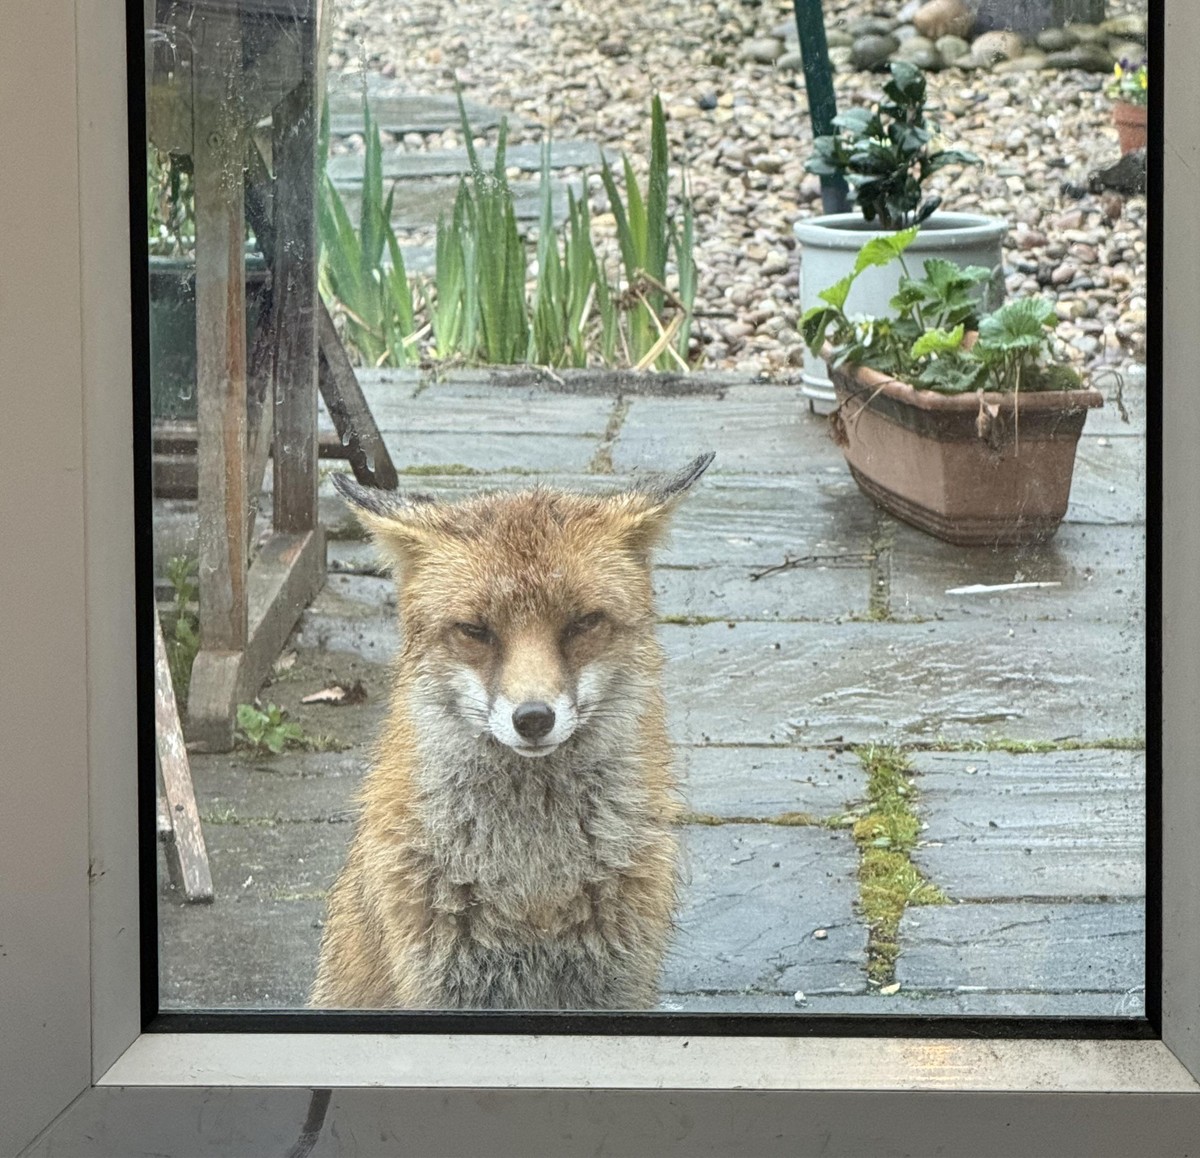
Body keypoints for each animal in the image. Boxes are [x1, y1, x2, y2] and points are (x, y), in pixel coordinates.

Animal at [309, 452, 715, 1010]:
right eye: (476, 631)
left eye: (582, 623)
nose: (534, 718)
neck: (532, 888)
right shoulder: (442, 985)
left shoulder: (616, 982)